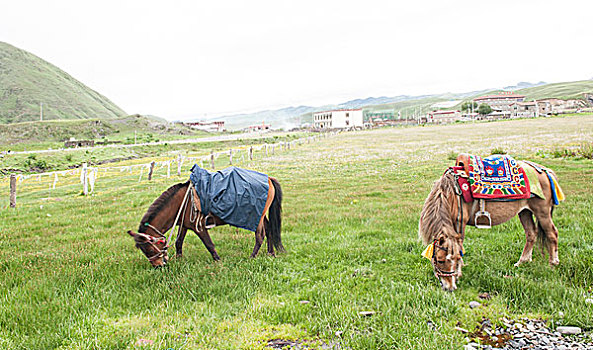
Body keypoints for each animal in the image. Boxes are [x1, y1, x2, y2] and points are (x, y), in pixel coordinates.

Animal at [126, 165, 282, 266]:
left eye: (150, 249)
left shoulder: (199, 227)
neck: (182, 202)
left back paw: (252, 256)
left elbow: (209, 244)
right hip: (261, 215)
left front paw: (218, 261)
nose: (158, 266)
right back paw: (271, 253)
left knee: (260, 236)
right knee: (269, 230)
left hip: (258, 217)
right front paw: (179, 259)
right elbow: (178, 242)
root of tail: (269, 179)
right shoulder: (184, 225)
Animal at [416, 154, 564, 292]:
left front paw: (459, 272)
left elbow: (459, 246)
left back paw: (553, 264)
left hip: (542, 212)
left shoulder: (460, 221)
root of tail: (545, 171)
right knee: (531, 234)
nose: (450, 287)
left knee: (552, 234)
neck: (451, 194)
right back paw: (522, 262)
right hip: (525, 212)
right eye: (440, 260)